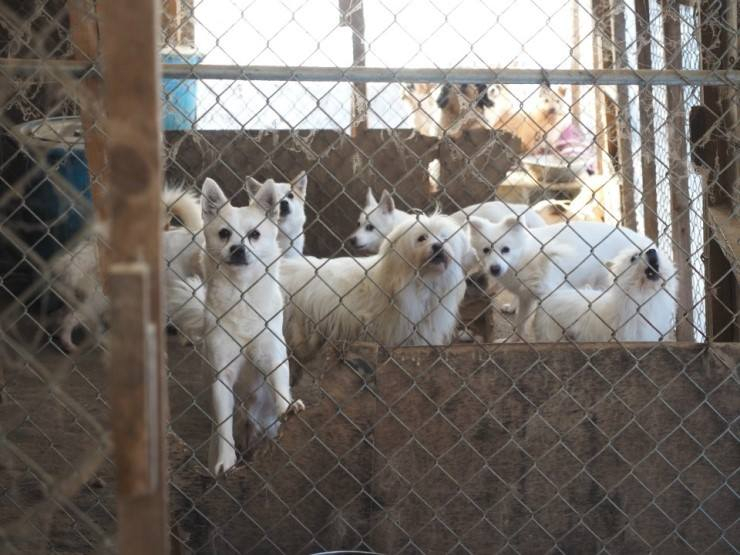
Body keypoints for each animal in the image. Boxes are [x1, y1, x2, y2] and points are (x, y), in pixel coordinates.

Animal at [468, 217, 652, 338]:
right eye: (486, 250)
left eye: (505, 249)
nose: (494, 269)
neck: (525, 256)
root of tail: (646, 241)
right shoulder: (526, 297)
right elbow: (520, 323)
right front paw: (514, 340)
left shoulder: (550, 289)